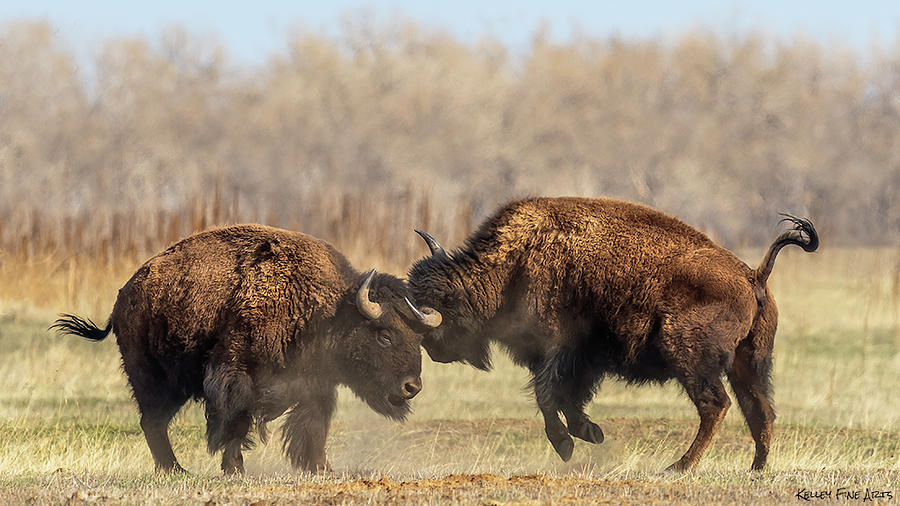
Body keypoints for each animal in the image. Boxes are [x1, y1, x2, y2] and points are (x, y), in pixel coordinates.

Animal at [51, 224, 442, 474]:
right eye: (385, 335)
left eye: (419, 338)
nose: (412, 386)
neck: (325, 308)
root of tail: (123, 298)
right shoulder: (235, 375)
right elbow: (235, 421)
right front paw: (235, 469)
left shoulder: (316, 385)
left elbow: (312, 426)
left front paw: (321, 468)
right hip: (155, 379)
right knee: (153, 421)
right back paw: (176, 470)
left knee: (154, 421)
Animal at [412, 197, 820, 470]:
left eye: (443, 309)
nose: (435, 353)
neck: (514, 262)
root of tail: (754, 275)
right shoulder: (578, 362)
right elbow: (566, 400)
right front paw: (590, 433)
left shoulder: (559, 350)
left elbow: (548, 397)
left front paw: (567, 445)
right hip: (749, 362)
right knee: (760, 410)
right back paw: (757, 470)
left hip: (690, 356)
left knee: (716, 405)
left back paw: (678, 467)